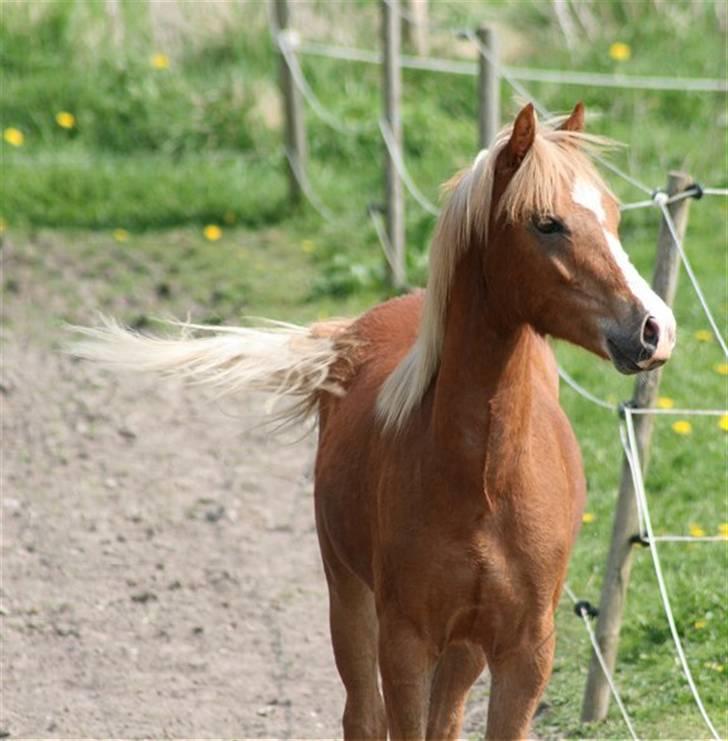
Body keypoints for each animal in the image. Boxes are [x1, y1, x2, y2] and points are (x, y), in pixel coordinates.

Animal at [72, 102, 676, 740]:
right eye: (547, 223)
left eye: (613, 215)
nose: (654, 327)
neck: (484, 483)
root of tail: (347, 334)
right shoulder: (404, 642)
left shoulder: (526, 651)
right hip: (349, 599)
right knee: (362, 714)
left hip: (462, 647)